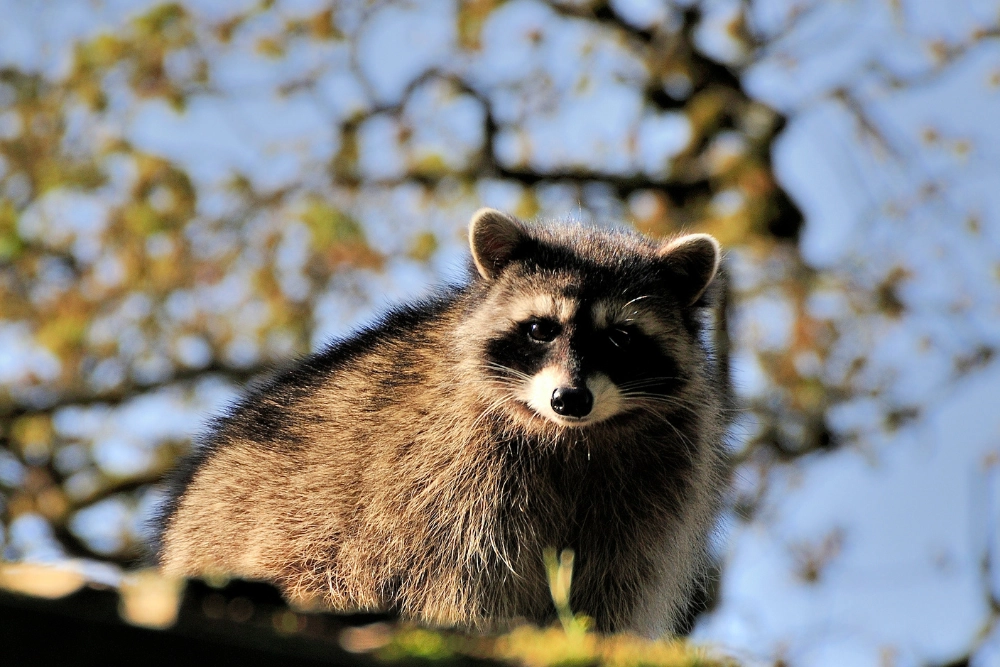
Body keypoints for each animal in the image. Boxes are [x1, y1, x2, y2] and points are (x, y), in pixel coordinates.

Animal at [154, 208, 732, 636]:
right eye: (541, 329)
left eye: (620, 338)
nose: (570, 399)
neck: (572, 437)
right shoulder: (445, 478)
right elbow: (459, 577)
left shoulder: (652, 494)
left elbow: (613, 586)